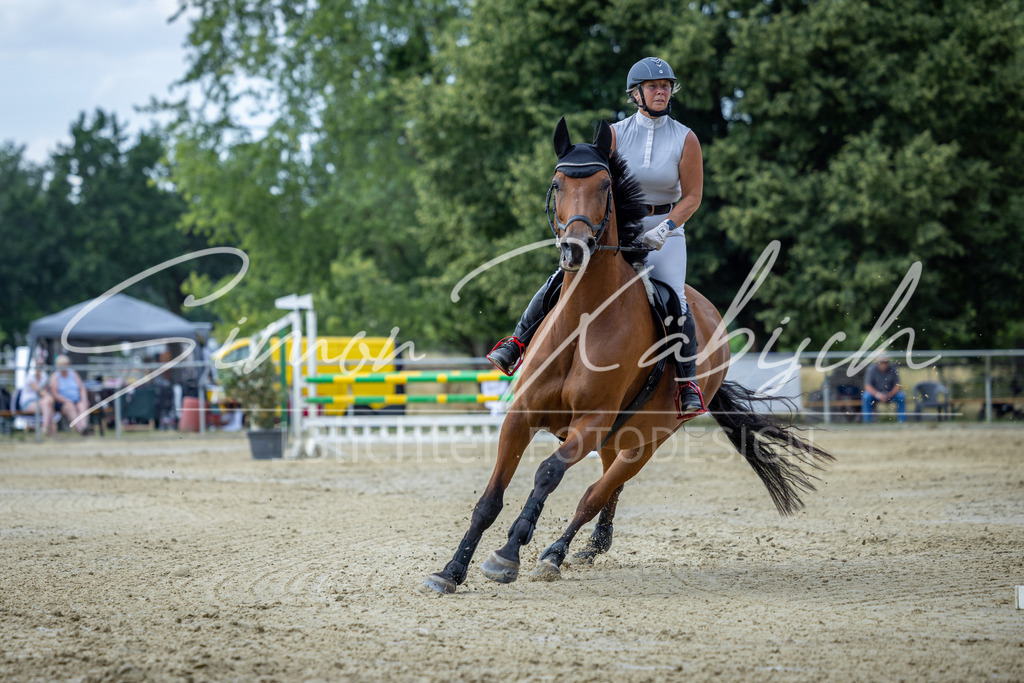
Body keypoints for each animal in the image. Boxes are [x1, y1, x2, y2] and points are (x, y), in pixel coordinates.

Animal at [420, 117, 833, 594]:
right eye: (558, 184)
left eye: (605, 187)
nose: (574, 248)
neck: (583, 319)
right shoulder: (522, 415)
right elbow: (489, 499)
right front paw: (450, 571)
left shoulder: (592, 422)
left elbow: (548, 474)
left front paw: (507, 555)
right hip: (616, 438)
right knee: (606, 489)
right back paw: (591, 545)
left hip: (645, 441)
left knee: (594, 494)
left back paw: (556, 554)